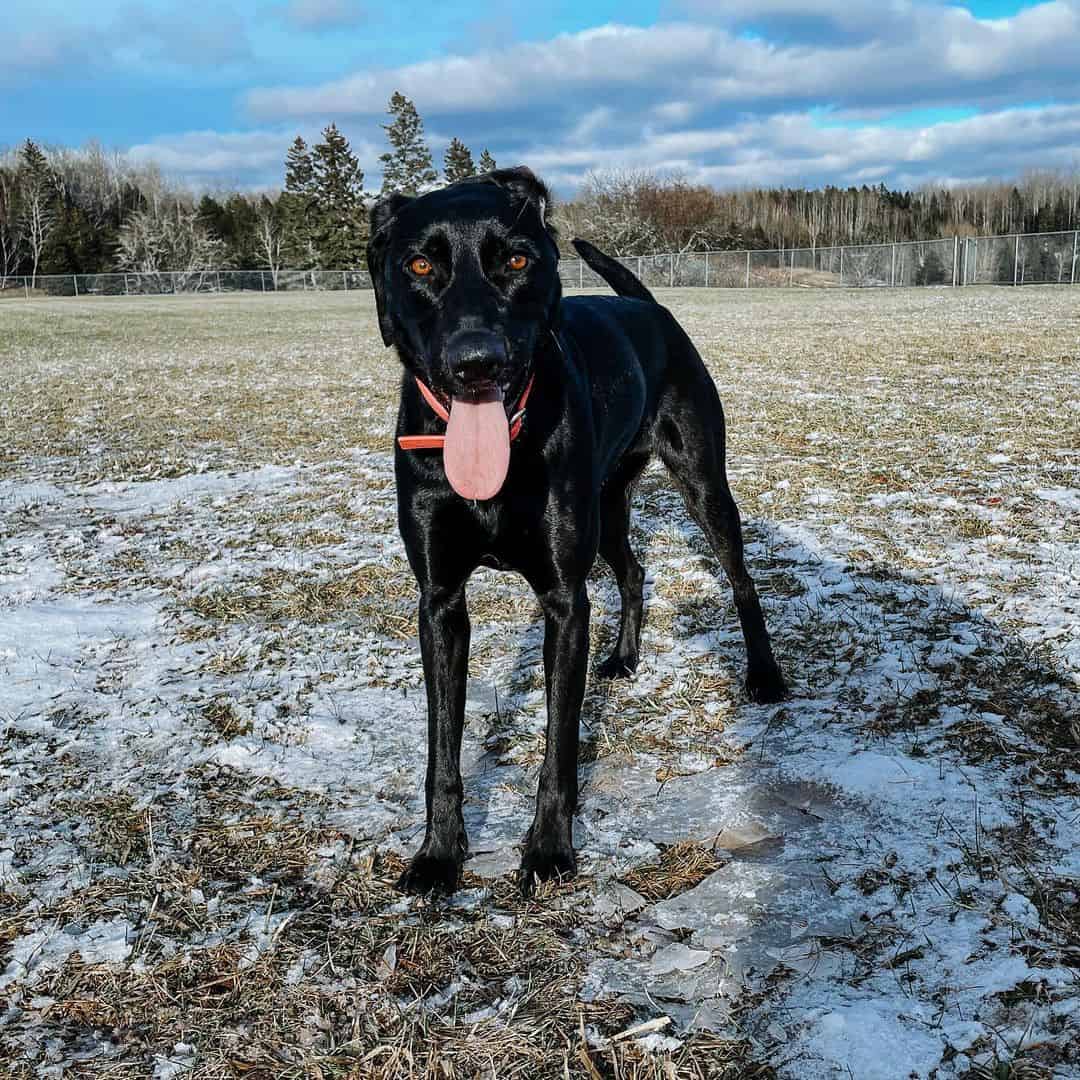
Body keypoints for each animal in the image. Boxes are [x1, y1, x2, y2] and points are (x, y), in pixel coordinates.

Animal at [369, 166, 786, 894]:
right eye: (419, 265)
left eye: (516, 261)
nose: (476, 361)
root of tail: (648, 306)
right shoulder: (440, 602)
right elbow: (442, 751)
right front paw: (440, 854)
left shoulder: (564, 599)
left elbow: (559, 745)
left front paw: (547, 851)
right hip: (608, 506)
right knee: (634, 569)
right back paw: (623, 658)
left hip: (704, 486)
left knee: (740, 581)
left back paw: (762, 674)